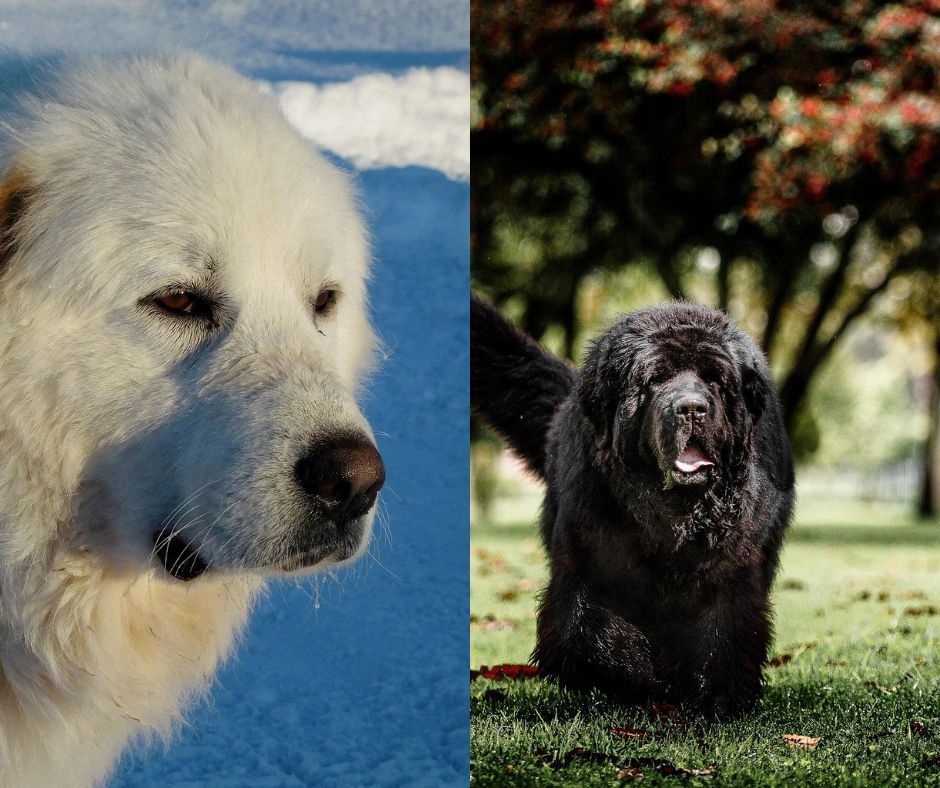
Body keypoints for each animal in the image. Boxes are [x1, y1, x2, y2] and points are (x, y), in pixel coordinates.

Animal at [470, 298, 792, 720]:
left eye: (716, 381)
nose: (691, 408)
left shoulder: (733, 567)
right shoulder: (585, 556)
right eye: (655, 379)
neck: (674, 516)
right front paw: (633, 674)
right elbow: (587, 629)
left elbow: (725, 629)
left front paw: (716, 698)